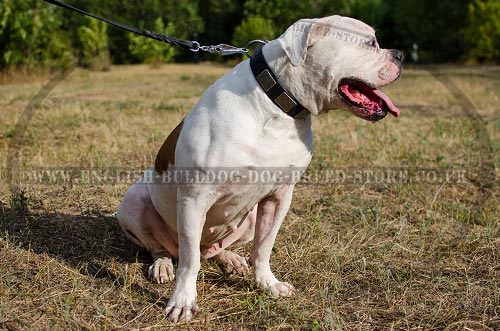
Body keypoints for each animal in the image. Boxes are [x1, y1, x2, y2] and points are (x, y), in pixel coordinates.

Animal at [116, 14, 402, 322]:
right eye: (371, 43)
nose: (400, 55)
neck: (276, 105)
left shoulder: (279, 197)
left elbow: (264, 246)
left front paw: (268, 283)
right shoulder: (195, 199)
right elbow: (190, 262)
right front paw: (183, 301)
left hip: (249, 216)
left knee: (210, 250)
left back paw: (231, 260)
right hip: (133, 203)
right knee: (167, 249)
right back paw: (163, 266)